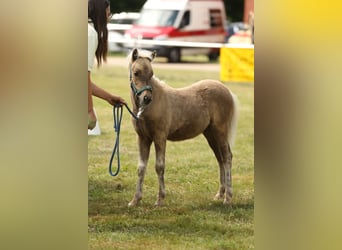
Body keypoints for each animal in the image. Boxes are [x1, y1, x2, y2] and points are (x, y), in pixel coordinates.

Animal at [126, 47, 238, 206]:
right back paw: (219, 195)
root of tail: (227, 90)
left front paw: (160, 200)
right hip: (210, 134)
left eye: (152, 74)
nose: (146, 98)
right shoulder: (142, 138)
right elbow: (141, 168)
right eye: (136, 72)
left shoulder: (160, 137)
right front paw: (135, 200)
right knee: (220, 158)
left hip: (220, 131)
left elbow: (159, 166)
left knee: (227, 157)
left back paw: (227, 198)